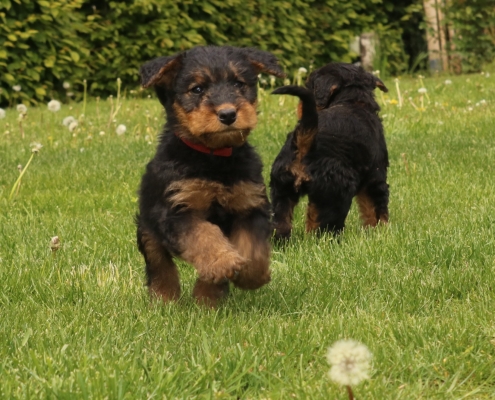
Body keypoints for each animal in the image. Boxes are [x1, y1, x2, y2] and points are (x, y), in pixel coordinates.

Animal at [136, 45, 284, 306]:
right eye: (197, 89)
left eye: (238, 84)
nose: (228, 114)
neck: (214, 157)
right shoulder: (177, 211)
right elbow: (204, 235)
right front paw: (223, 261)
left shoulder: (250, 205)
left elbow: (253, 247)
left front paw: (251, 276)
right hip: (146, 225)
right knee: (158, 263)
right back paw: (165, 299)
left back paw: (207, 300)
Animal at [272, 62, 392, 238]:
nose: (299, 109)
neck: (352, 102)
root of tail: (305, 140)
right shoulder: (376, 176)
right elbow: (375, 209)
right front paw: (380, 231)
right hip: (335, 192)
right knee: (321, 227)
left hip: (281, 188)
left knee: (280, 224)